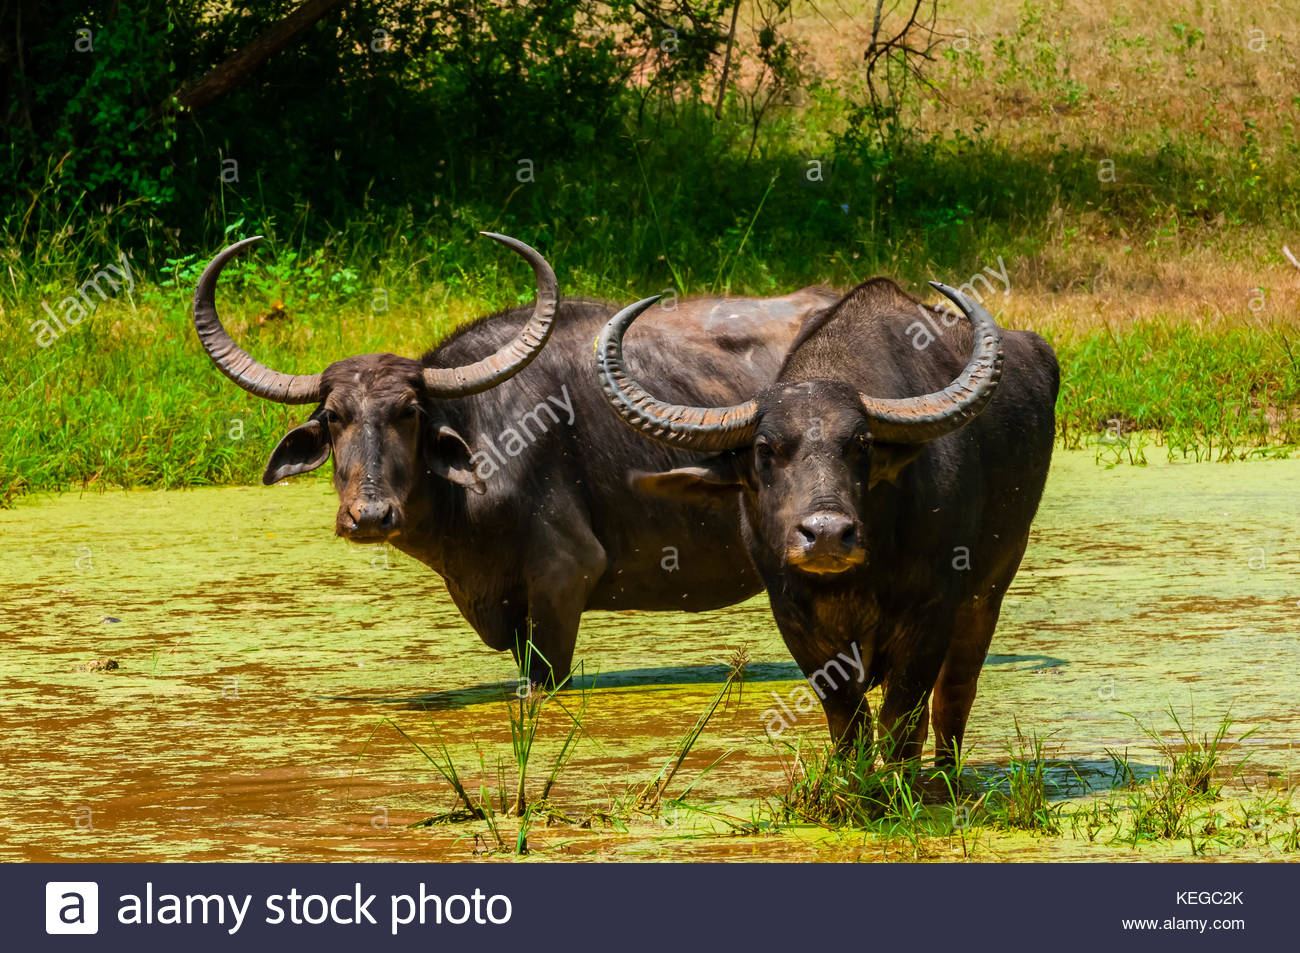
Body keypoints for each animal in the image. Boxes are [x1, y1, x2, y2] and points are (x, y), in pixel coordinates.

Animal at [595, 277, 1058, 765]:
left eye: (861, 444)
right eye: (764, 449)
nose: (827, 535)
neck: (854, 582)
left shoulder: (933, 609)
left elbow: (901, 719)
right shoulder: (794, 618)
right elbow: (849, 721)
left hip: (989, 590)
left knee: (954, 696)